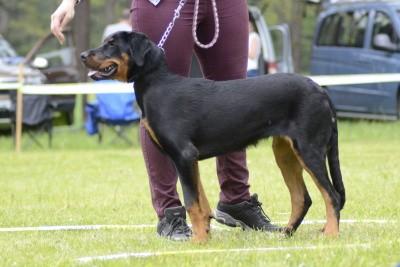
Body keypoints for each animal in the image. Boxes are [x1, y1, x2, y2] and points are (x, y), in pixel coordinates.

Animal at [79, 30, 346, 243]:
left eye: (112, 44)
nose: (82, 55)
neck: (157, 85)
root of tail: (320, 89)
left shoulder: (184, 155)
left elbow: (192, 202)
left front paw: (197, 242)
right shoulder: (188, 159)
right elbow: (201, 202)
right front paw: (204, 236)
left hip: (308, 148)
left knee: (331, 195)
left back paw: (331, 235)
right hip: (285, 152)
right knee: (302, 198)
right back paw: (285, 234)